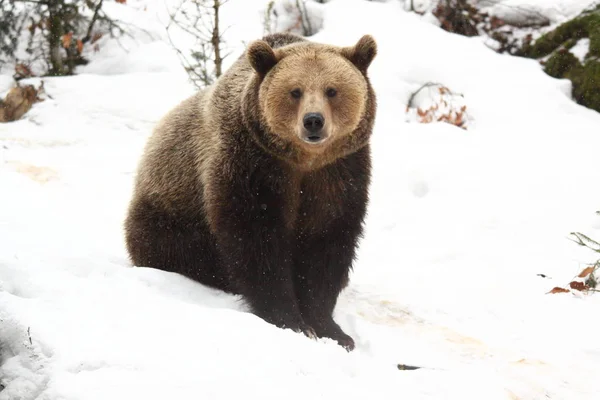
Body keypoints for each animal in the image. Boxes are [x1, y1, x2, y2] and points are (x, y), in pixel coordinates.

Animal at [124, 32, 378, 350]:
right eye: (295, 91)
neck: (303, 162)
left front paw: (331, 329)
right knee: (180, 250)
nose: (313, 121)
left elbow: (327, 243)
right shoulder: (251, 164)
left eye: (332, 90)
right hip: (171, 212)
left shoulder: (339, 174)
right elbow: (256, 241)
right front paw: (290, 319)